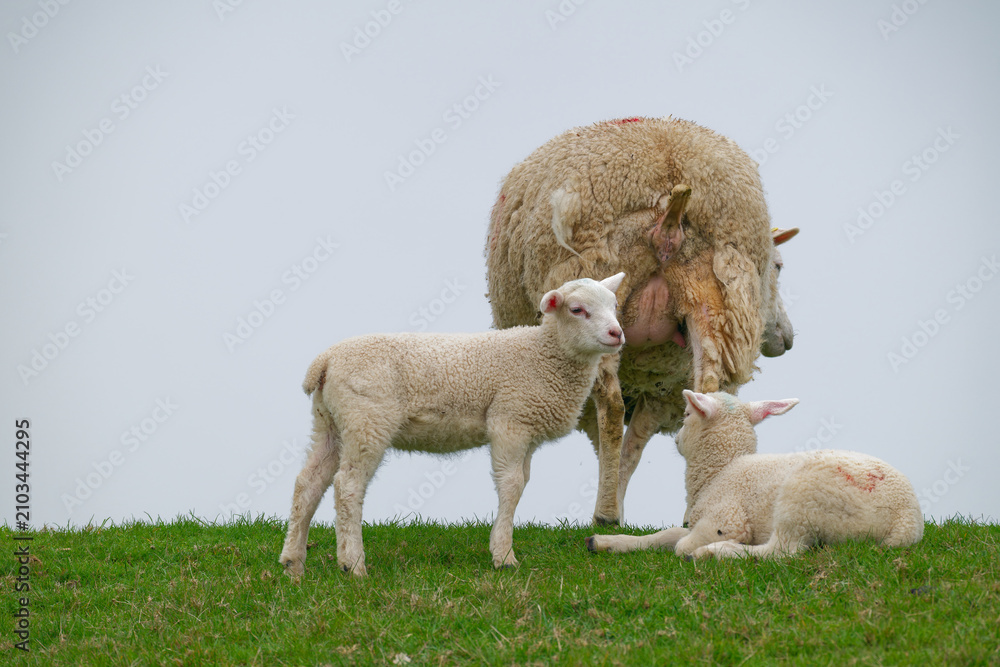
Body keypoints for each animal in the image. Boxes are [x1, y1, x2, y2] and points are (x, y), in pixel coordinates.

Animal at [279, 273, 626, 577]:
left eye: (614, 305)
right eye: (577, 310)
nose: (617, 334)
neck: (543, 354)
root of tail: (325, 361)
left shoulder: (527, 427)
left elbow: (523, 481)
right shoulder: (509, 420)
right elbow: (511, 485)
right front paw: (504, 556)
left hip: (330, 423)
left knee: (309, 483)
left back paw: (293, 562)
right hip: (367, 420)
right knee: (348, 486)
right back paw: (353, 564)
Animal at [485, 116, 799, 524]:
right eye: (777, 266)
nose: (787, 338)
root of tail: (670, 216)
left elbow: (615, 441)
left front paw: (611, 506)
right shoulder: (661, 388)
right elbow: (632, 446)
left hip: (598, 298)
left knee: (612, 407)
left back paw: (606, 513)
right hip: (710, 298)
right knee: (705, 389)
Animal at [586, 390, 924, 559]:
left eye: (687, 414)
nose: (677, 438)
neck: (720, 470)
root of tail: (907, 519)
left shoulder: (726, 517)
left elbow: (682, 544)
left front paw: (706, 548)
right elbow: (665, 535)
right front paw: (606, 542)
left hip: (802, 502)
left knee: (782, 551)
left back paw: (717, 552)